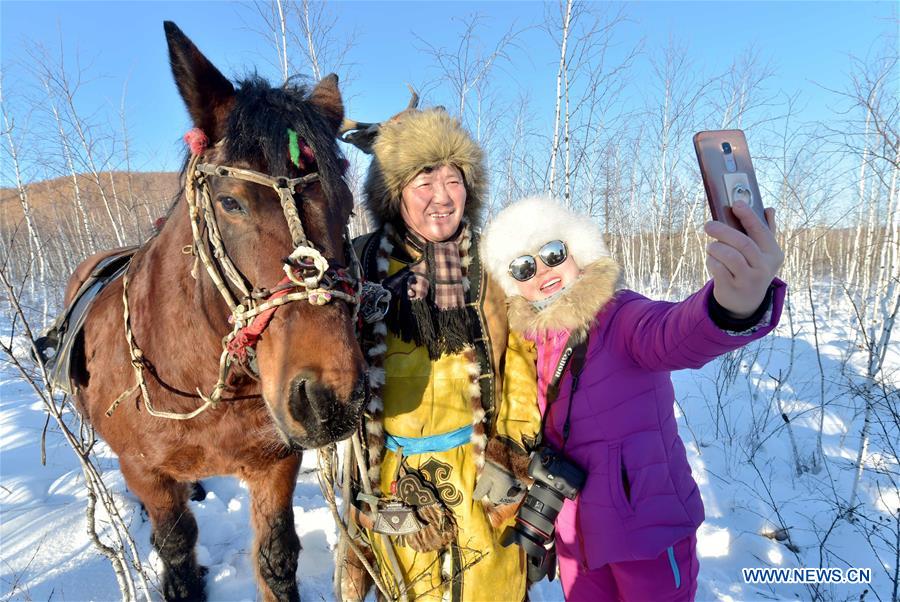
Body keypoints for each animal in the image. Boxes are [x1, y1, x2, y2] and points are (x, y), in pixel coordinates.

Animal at [63, 21, 368, 596]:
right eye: (230, 202)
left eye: (346, 206)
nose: (329, 398)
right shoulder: (149, 476)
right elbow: (177, 554)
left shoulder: (275, 465)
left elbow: (276, 558)